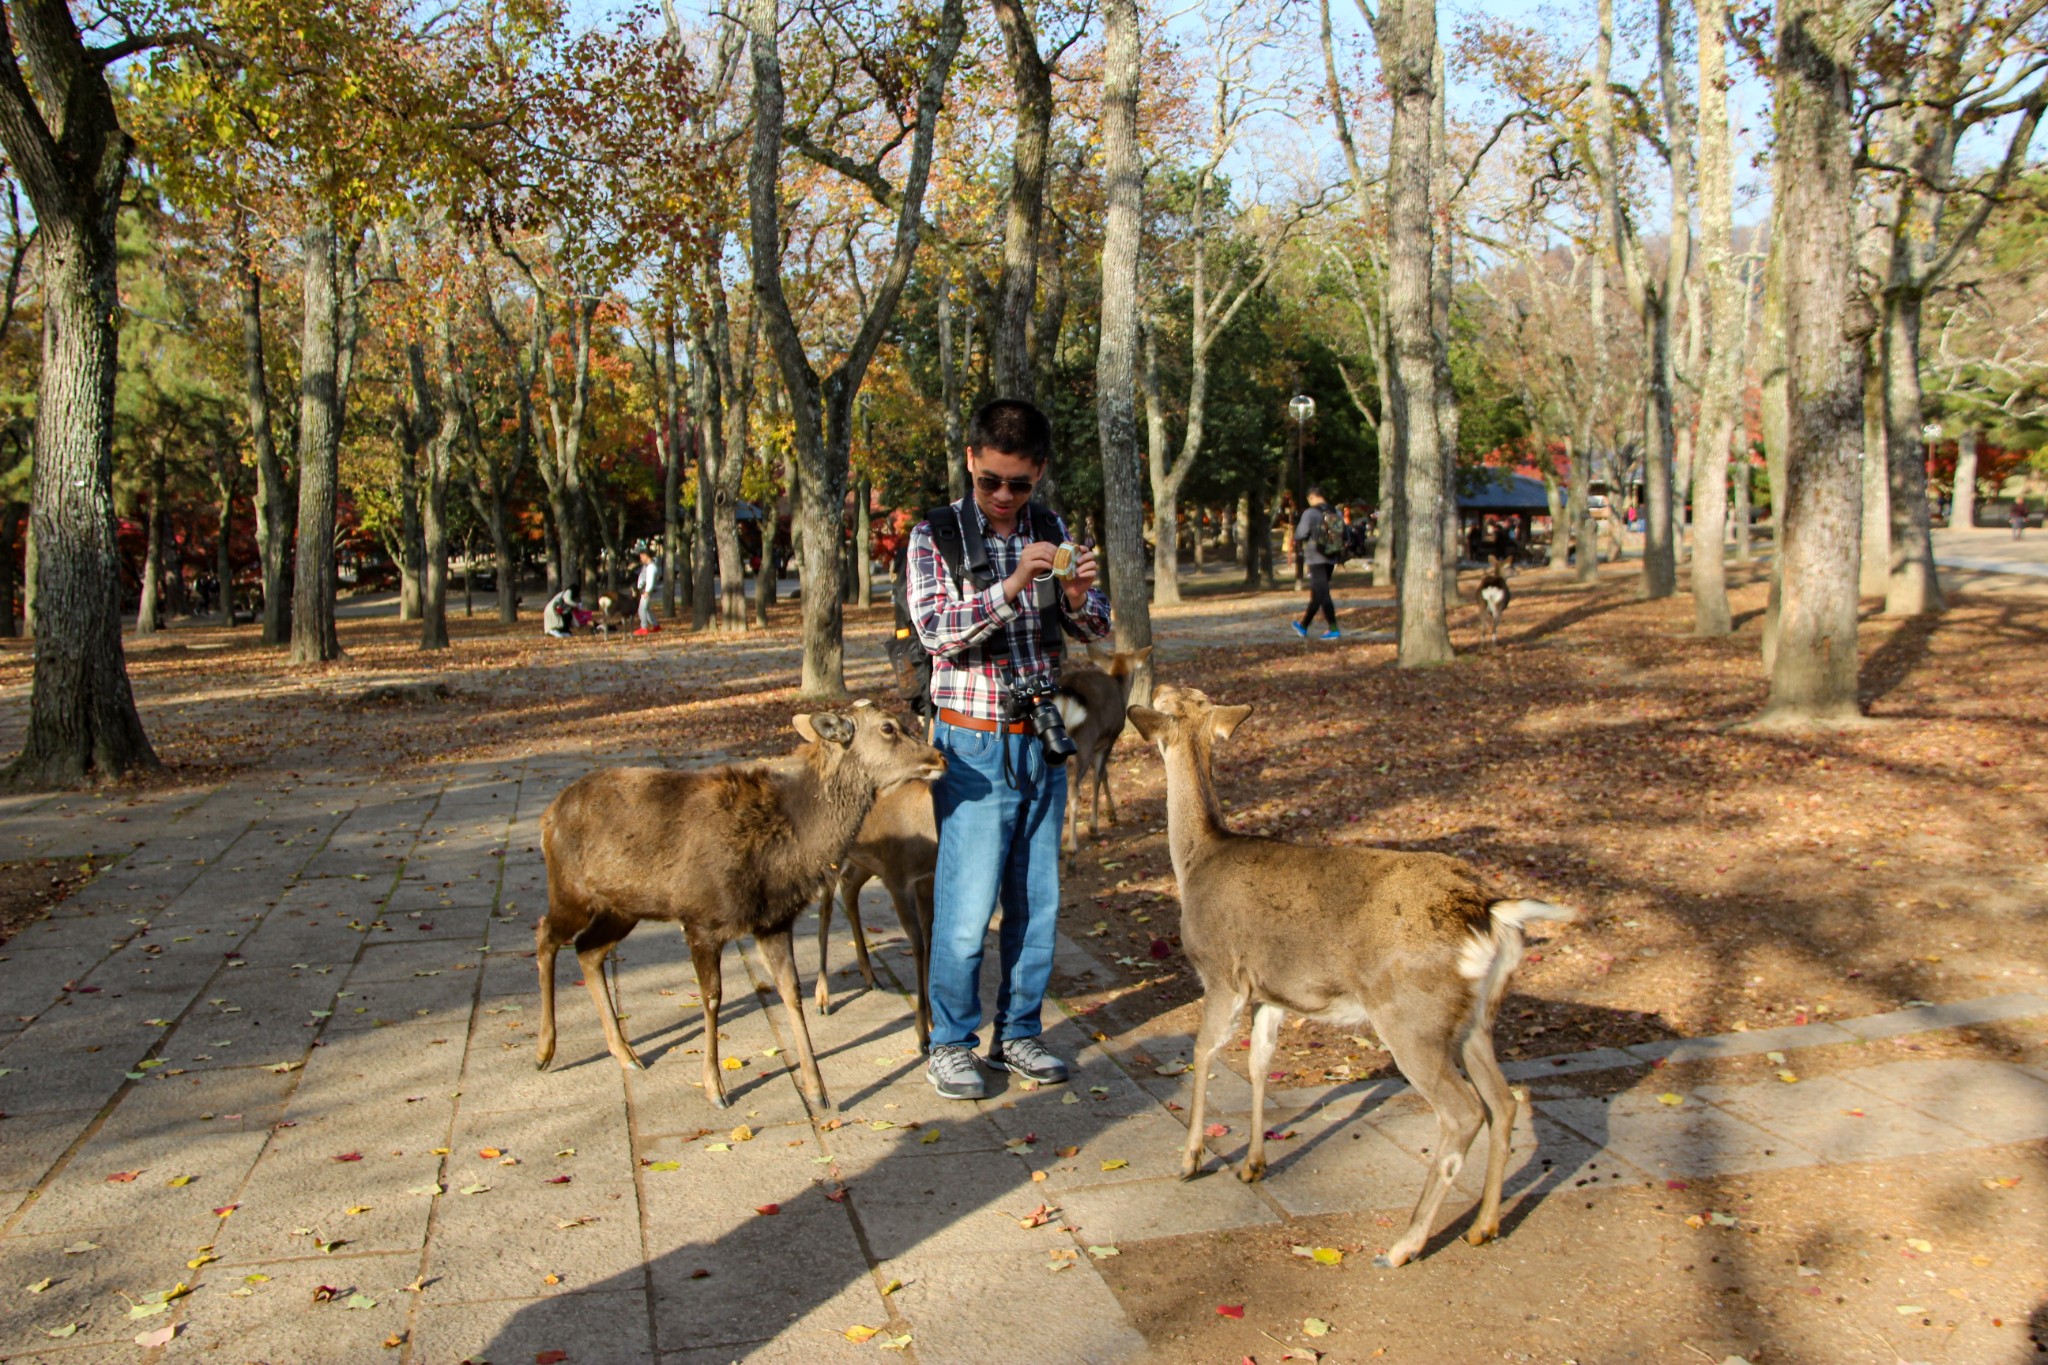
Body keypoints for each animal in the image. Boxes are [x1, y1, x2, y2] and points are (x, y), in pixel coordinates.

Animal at [815, 773, 942, 1055]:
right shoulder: (897, 879)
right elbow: (918, 947)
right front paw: (922, 1035)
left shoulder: (927, 882)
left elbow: (929, 944)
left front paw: (931, 1025)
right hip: (830, 852)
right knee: (825, 909)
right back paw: (822, 998)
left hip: (867, 862)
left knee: (849, 886)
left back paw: (870, 976)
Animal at [1056, 642, 1155, 855]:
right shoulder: (1109, 738)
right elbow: (1099, 776)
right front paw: (1096, 825)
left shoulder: (1099, 744)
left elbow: (1104, 775)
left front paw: (1111, 814)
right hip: (1083, 741)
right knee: (1073, 787)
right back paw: (1071, 848)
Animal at [1130, 683, 1572, 1268]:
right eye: (1191, 696)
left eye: (1173, 701)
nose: (1156, 686)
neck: (1197, 859)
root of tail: (1492, 911)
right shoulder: (1273, 992)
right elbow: (1259, 1064)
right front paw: (1253, 1164)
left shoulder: (1221, 973)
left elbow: (1202, 1053)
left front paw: (1189, 1159)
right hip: (1476, 1019)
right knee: (1505, 1102)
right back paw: (1483, 1226)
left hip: (1411, 1016)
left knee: (1462, 1113)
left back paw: (1404, 1244)